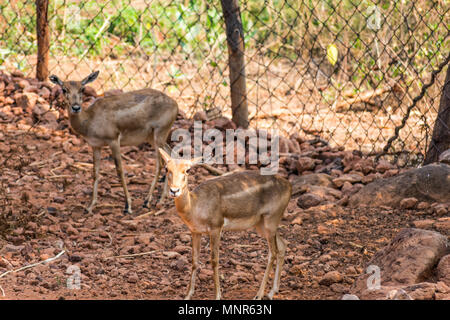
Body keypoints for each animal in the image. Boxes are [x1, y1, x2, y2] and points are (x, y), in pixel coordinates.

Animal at [48, 71, 178, 214]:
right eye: (64, 89)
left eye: (82, 89)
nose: (76, 107)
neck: (90, 120)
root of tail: (175, 103)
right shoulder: (95, 146)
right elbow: (95, 172)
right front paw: (90, 206)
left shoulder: (114, 141)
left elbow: (119, 170)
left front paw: (128, 206)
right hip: (154, 138)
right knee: (170, 155)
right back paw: (162, 198)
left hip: (158, 135)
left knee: (160, 164)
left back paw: (149, 201)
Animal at [160, 148, 294, 300]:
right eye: (166, 168)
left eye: (188, 170)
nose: (174, 190)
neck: (195, 206)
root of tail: (289, 186)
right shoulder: (195, 231)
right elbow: (194, 260)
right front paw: (188, 295)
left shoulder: (216, 227)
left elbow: (214, 260)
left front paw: (218, 295)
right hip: (262, 224)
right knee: (283, 245)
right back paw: (272, 291)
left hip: (271, 219)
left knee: (273, 252)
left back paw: (259, 295)